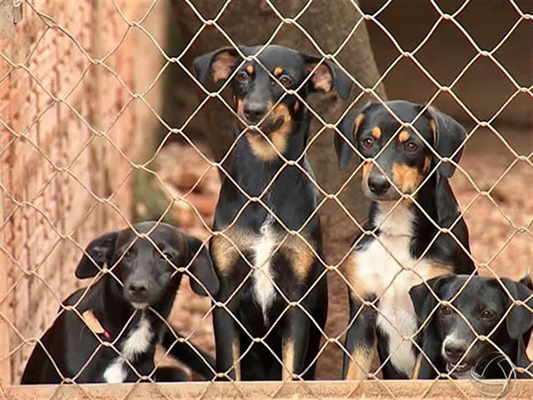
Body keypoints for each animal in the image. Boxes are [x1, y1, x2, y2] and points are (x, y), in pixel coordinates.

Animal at [193, 44, 352, 382]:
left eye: (286, 80)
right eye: (242, 76)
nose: (253, 111)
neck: (264, 185)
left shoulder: (297, 300)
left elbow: (290, 375)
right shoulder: (225, 295)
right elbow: (231, 372)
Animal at [334, 101, 476, 382]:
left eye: (411, 145)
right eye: (368, 141)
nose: (377, 184)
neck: (397, 230)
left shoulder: (431, 325)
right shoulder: (362, 315)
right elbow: (351, 379)